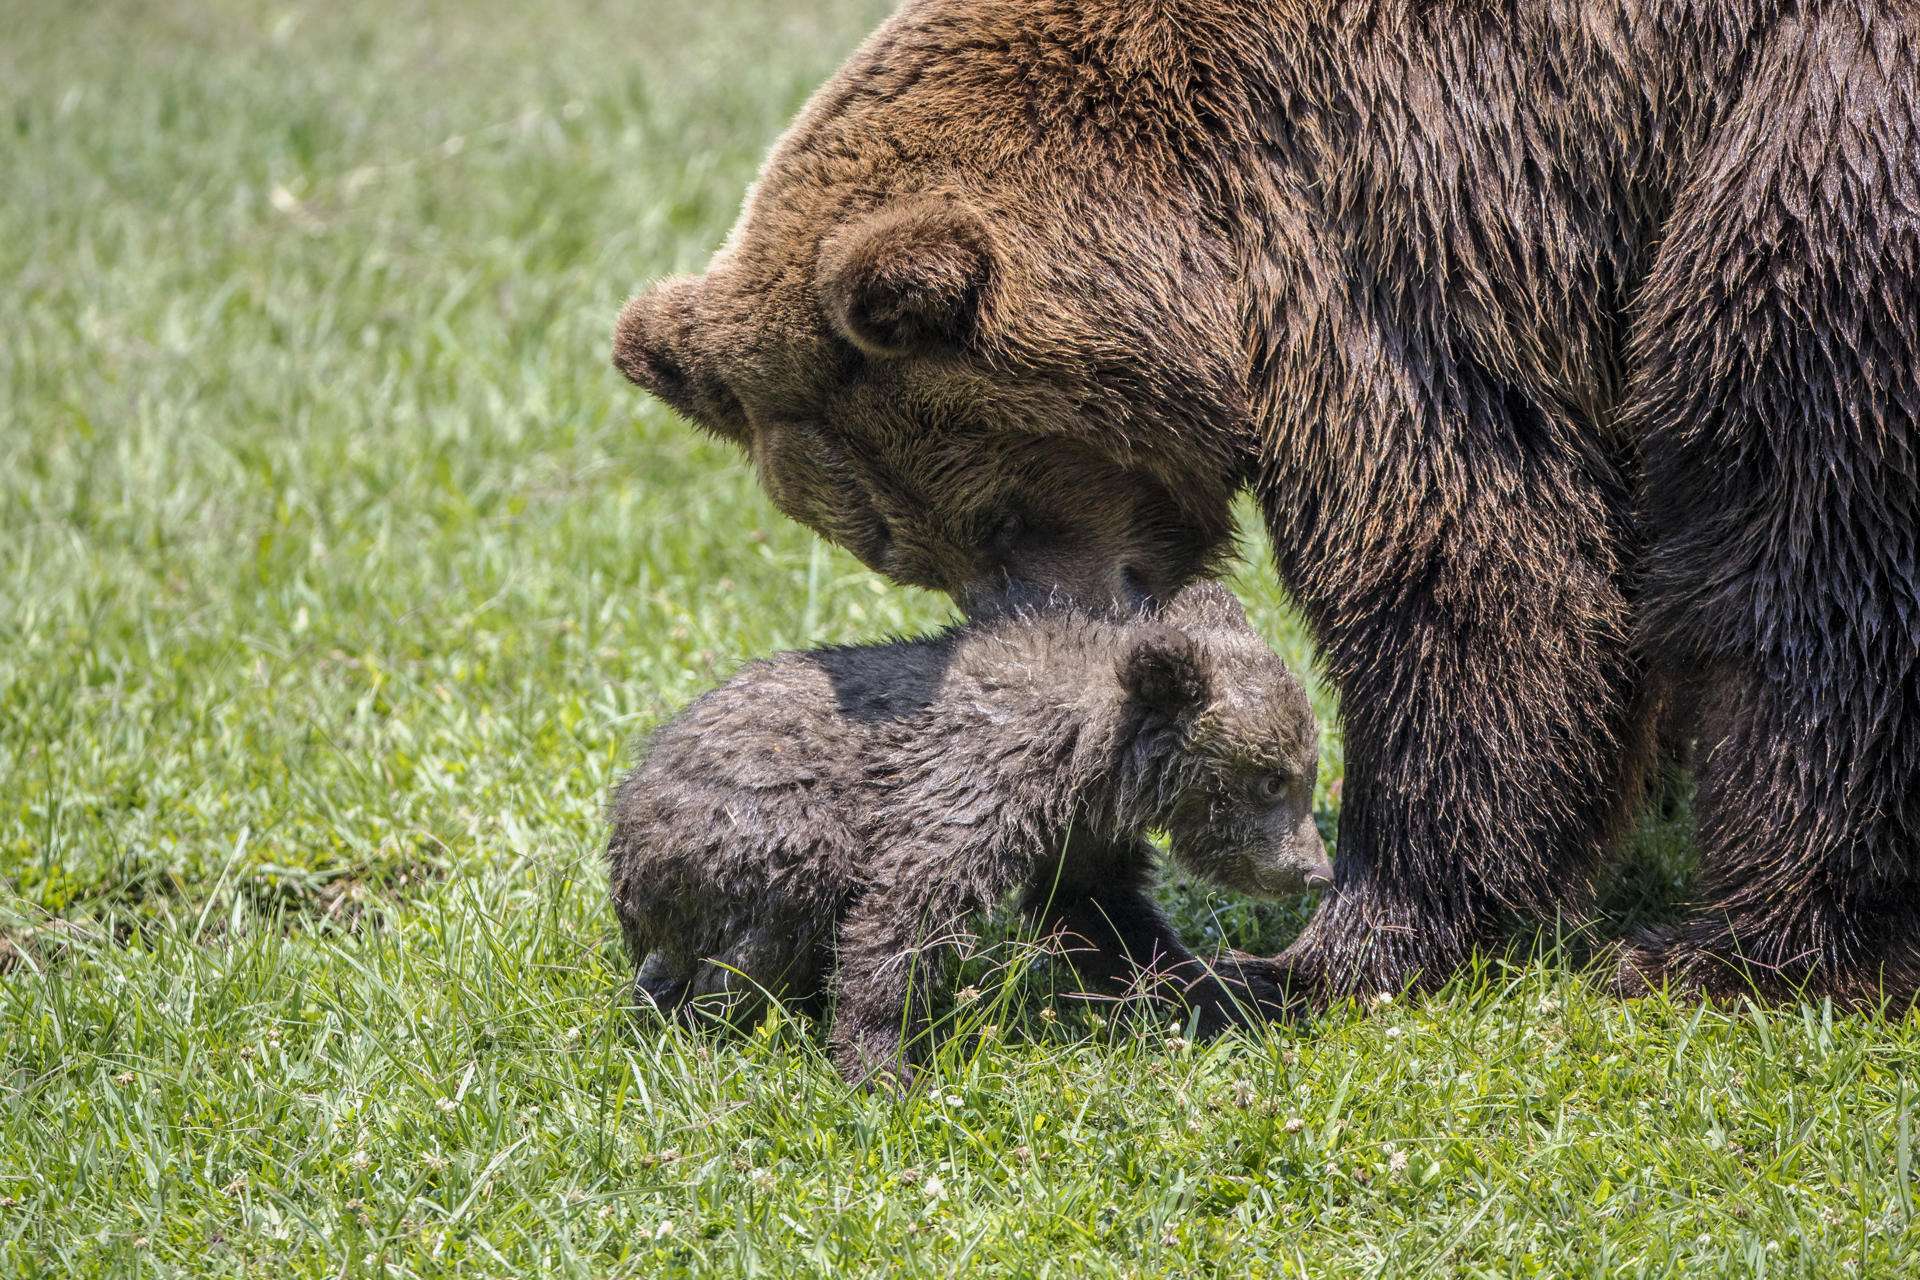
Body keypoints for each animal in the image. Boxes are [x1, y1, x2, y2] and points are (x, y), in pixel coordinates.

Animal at [605, 582, 1331, 1084]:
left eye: (1304, 769)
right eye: (1272, 779)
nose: (1316, 872)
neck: (1090, 756)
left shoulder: (1079, 832)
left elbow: (1102, 914)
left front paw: (1231, 991)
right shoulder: (972, 785)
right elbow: (903, 909)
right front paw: (882, 1067)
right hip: (749, 827)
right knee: (776, 908)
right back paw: (711, 1023)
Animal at [610, 1, 1920, 1006]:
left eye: (998, 513)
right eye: (898, 548)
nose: (1028, 661)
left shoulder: (1404, 205)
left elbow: (1472, 551)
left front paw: (1327, 948)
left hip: (1824, 146)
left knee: (1799, 513)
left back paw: (1726, 947)